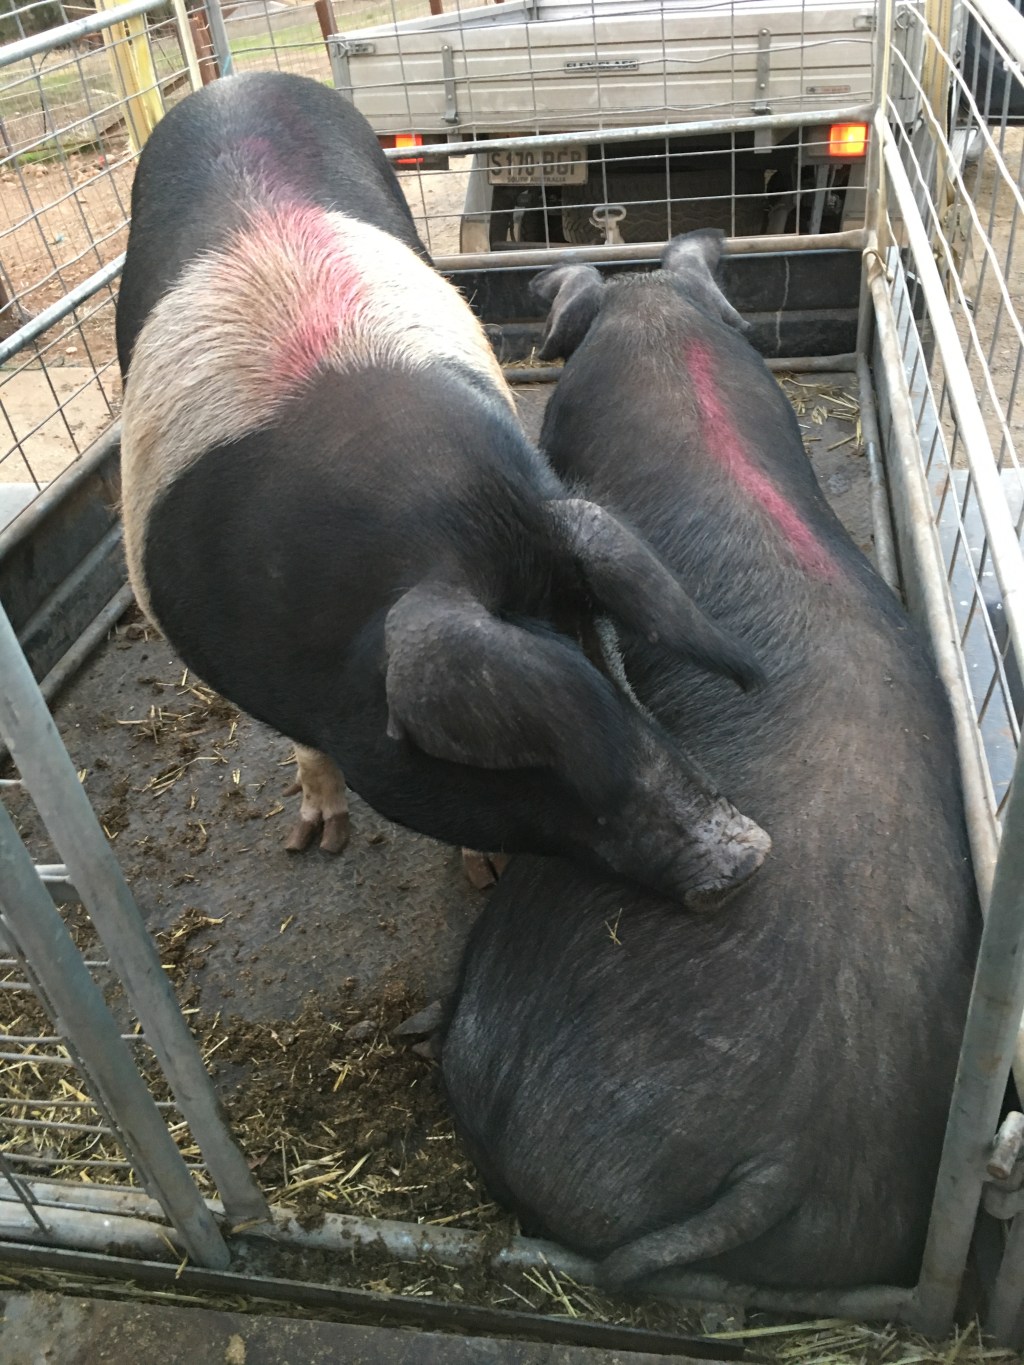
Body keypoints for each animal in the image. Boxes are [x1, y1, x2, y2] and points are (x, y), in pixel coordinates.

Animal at [115, 73, 771, 906]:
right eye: (512, 753)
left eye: (600, 635)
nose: (748, 850)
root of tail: (239, 78)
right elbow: (304, 747)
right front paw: (315, 842)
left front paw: (484, 875)